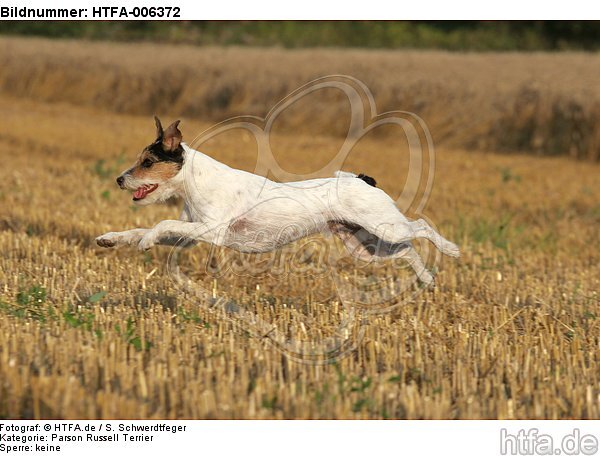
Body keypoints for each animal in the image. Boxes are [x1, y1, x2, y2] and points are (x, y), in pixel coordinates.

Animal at [97, 116, 460, 284]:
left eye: (147, 162)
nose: (119, 179)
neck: (195, 181)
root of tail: (362, 179)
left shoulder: (212, 230)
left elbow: (161, 222)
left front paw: (145, 241)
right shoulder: (189, 235)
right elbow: (144, 229)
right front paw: (111, 238)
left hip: (385, 226)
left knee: (421, 226)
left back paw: (451, 249)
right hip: (366, 247)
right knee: (408, 250)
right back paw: (426, 279)